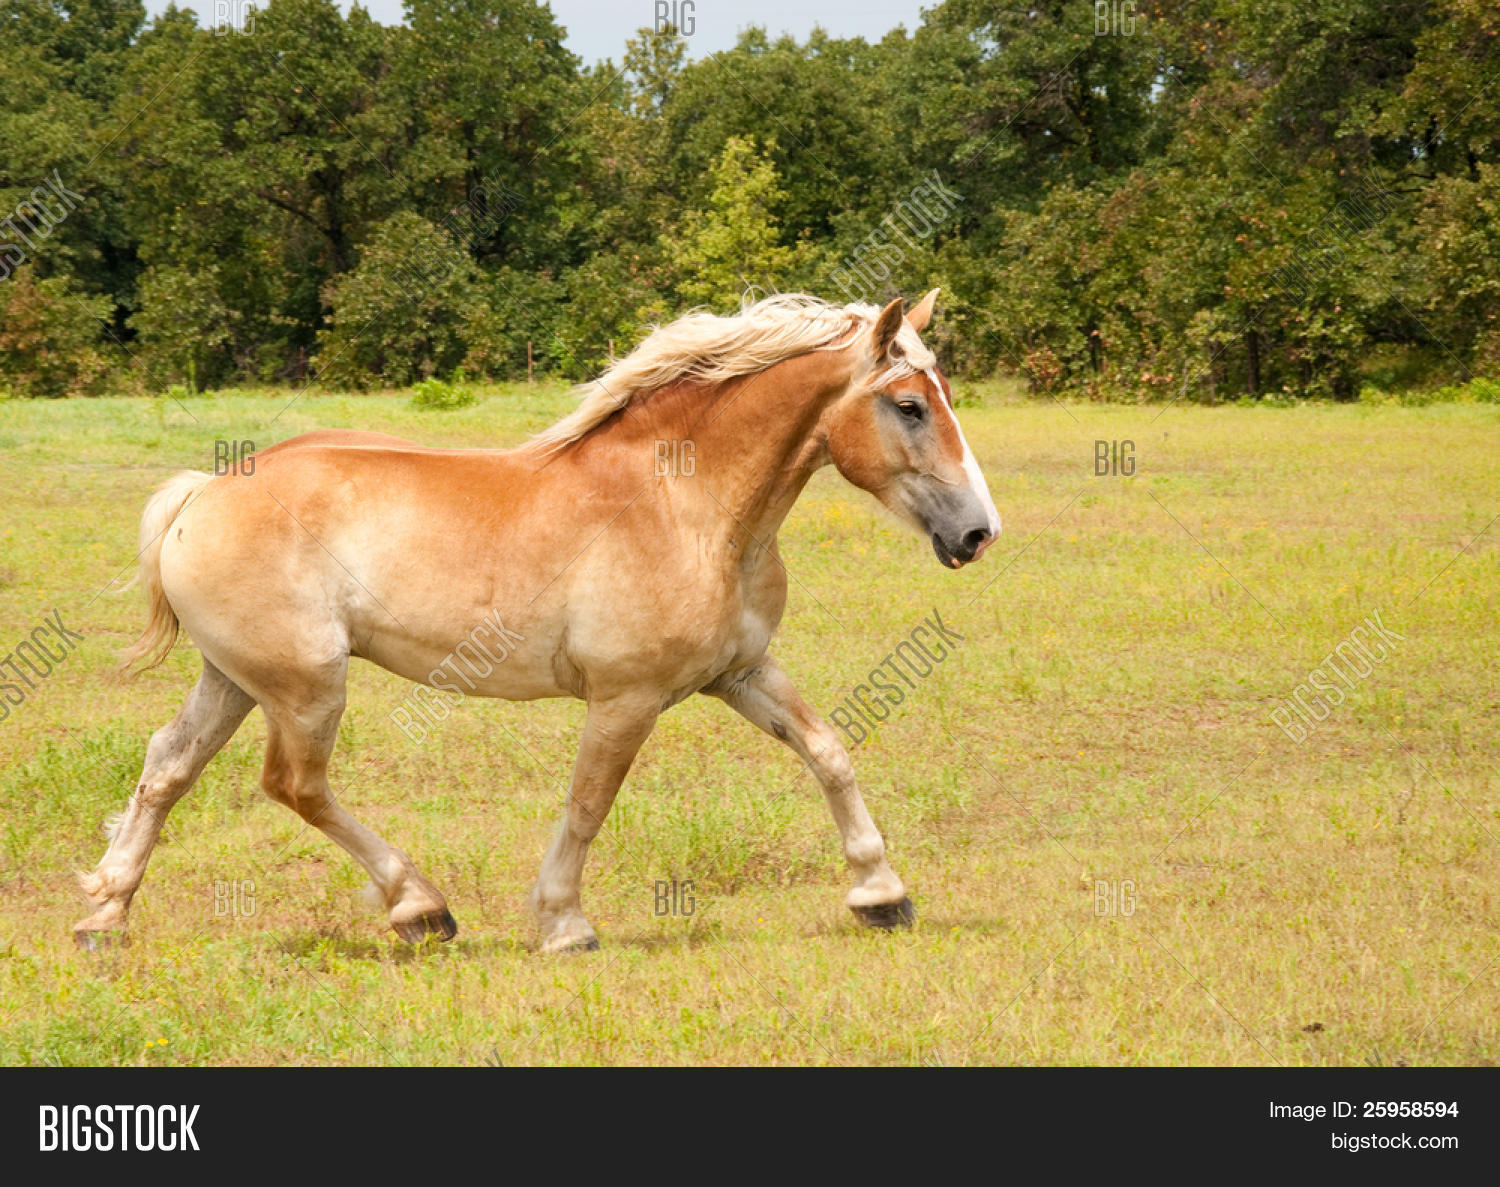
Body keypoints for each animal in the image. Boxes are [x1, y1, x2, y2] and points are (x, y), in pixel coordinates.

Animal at [75, 290, 1001, 953]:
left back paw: (104, 916)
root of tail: (206, 489)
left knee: (167, 768)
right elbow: (589, 803)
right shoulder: (626, 699)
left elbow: (828, 751)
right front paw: (563, 924)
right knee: (295, 785)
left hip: (235, 678)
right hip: (305, 686)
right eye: (910, 405)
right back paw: (421, 908)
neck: (685, 503)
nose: (978, 533)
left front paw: (881, 893)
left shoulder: (740, 671)